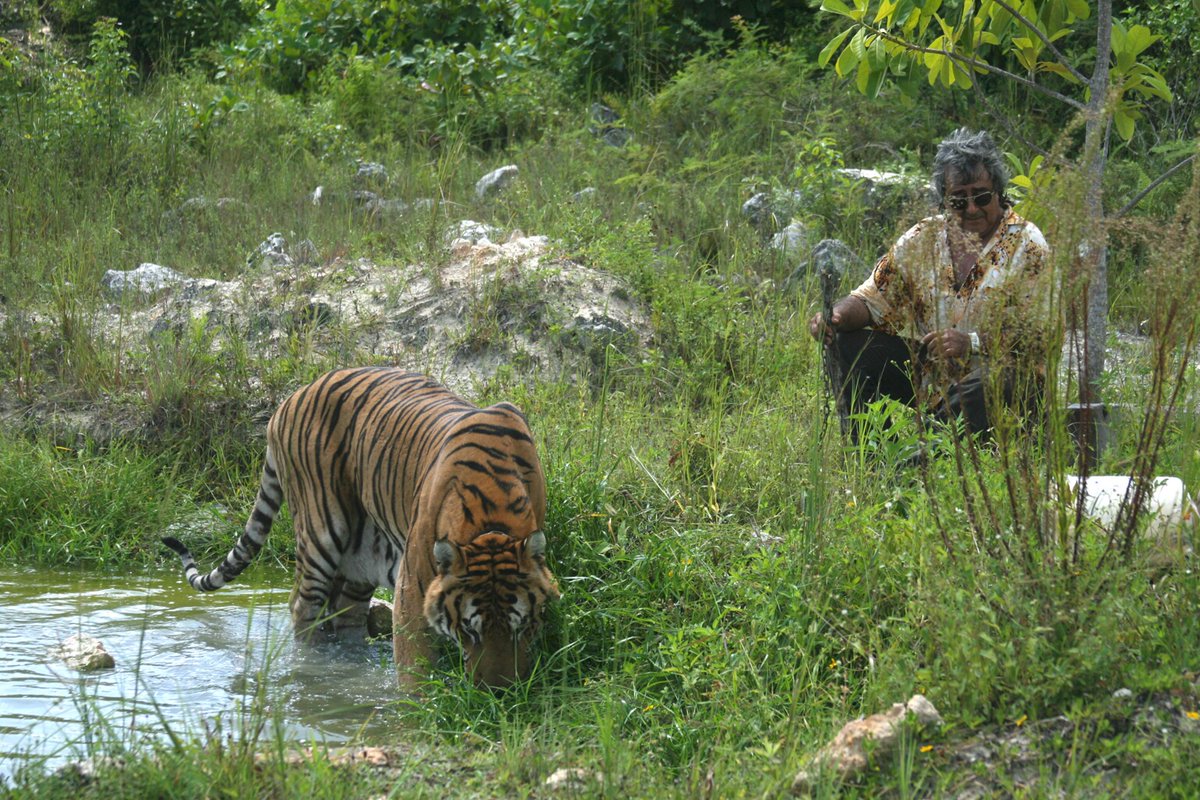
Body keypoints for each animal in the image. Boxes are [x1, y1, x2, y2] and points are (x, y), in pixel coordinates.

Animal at [162, 367, 559, 688]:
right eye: (468, 630)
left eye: (520, 627)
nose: (498, 693)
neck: (492, 522)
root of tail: (290, 398)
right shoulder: (412, 590)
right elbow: (414, 663)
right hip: (321, 532)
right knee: (302, 608)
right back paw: (312, 668)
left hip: (362, 556)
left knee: (346, 615)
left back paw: (351, 664)